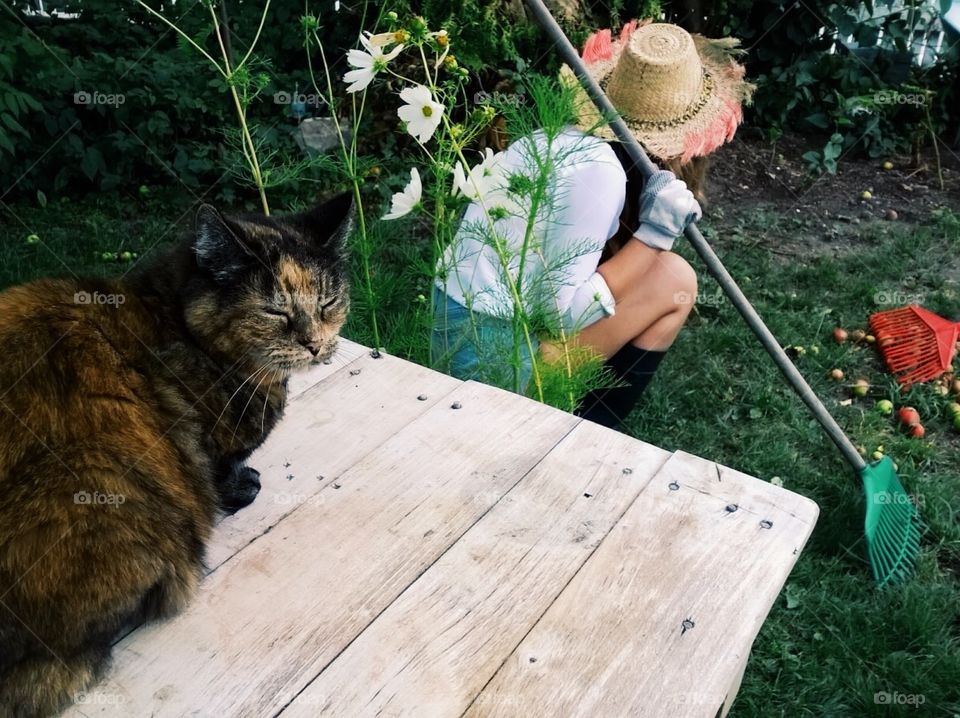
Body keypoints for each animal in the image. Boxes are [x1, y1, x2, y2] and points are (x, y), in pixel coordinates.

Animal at [0, 194, 352, 716]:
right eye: (274, 312)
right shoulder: (212, 445)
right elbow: (224, 470)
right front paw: (243, 488)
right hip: (105, 485)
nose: (314, 345)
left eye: (327, 302)